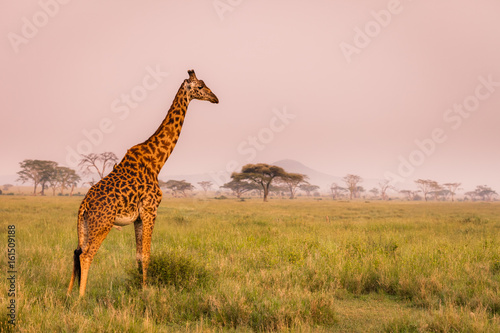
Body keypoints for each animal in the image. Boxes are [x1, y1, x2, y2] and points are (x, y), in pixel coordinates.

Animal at [67, 68, 219, 294]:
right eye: (200, 86)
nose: (215, 98)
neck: (157, 160)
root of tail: (83, 205)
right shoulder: (150, 210)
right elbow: (146, 255)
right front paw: (147, 292)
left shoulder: (138, 217)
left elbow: (138, 256)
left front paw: (141, 288)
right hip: (102, 224)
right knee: (86, 254)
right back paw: (81, 297)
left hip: (85, 225)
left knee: (76, 252)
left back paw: (69, 294)